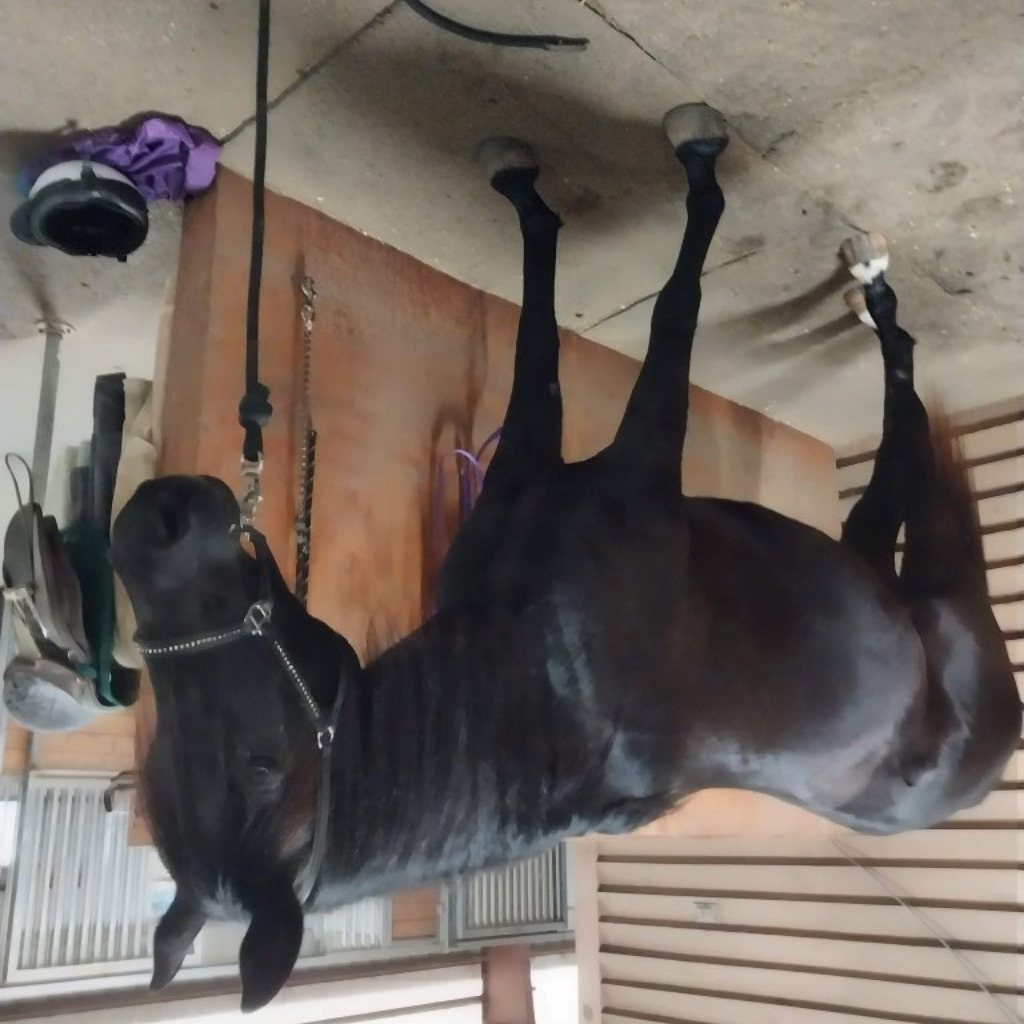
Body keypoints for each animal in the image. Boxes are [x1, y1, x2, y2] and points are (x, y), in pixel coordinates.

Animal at [110, 103, 1021, 1011]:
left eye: (260, 764)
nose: (153, 522)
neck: (534, 673)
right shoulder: (628, 456)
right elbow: (660, 305)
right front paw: (688, 160)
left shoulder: (543, 454)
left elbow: (553, 326)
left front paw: (525, 177)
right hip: (917, 581)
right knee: (903, 440)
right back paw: (876, 294)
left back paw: (869, 292)